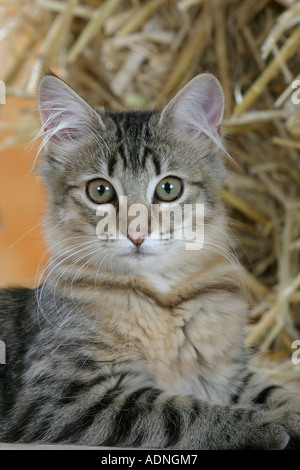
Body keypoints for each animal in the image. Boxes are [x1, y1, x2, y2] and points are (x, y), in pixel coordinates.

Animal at [0, 72, 300, 448]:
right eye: (100, 191)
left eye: (168, 188)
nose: (137, 234)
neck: (162, 303)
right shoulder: (64, 394)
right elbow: (184, 412)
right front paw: (269, 423)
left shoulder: (229, 372)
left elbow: (277, 390)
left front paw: (288, 412)